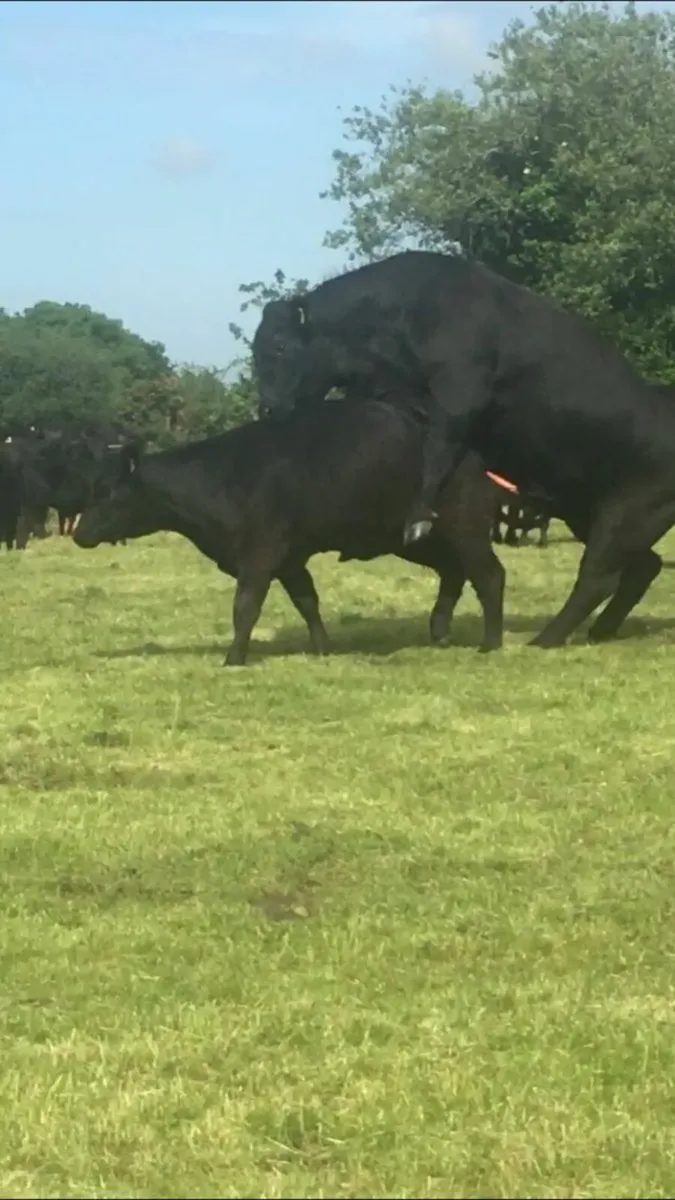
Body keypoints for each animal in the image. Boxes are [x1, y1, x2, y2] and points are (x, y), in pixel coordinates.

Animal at [73, 398, 506, 666]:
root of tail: (471, 453)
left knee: (489, 575)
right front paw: (322, 648)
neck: (221, 478)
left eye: (108, 491)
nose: (79, 534)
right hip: (418, 538)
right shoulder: (290, 559)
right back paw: (440, 631)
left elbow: (246, 606)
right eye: (92, 486)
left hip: (464, 527)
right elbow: (307, 601)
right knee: (455, 571)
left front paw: (233, 658)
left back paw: (490, 643)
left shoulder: (260, 554)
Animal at [251, 249, 675, 650]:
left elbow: (438, 451)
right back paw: (599, 630)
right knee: (642, 567)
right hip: (589, 511)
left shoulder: (459, 395)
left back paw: (546, 639)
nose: (268, 407)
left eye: (280, 346)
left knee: (597, 577)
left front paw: (418, 520)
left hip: (625, 512)